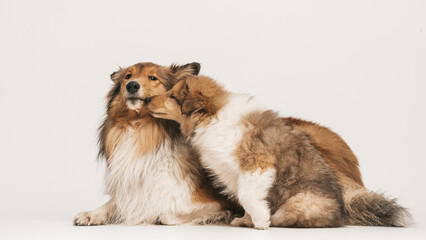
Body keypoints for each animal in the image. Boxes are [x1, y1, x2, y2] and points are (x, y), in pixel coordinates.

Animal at [74, 62, 238, 227]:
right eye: (128, 76)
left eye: (153, 78)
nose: (131, 85)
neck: (141, 128)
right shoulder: (132, 192)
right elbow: (114, 203)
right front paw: (91, 214)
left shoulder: (218, 202)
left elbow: (166, 215)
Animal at [146, 76, 410, 230]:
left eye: (172, 96)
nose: (147, 100)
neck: (213, 117)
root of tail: (342, 213)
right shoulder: (235, 173)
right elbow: (244, 196)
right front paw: (246, 220)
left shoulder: (258, 163)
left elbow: (248, 195)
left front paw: (260, 222)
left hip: (298, 203)